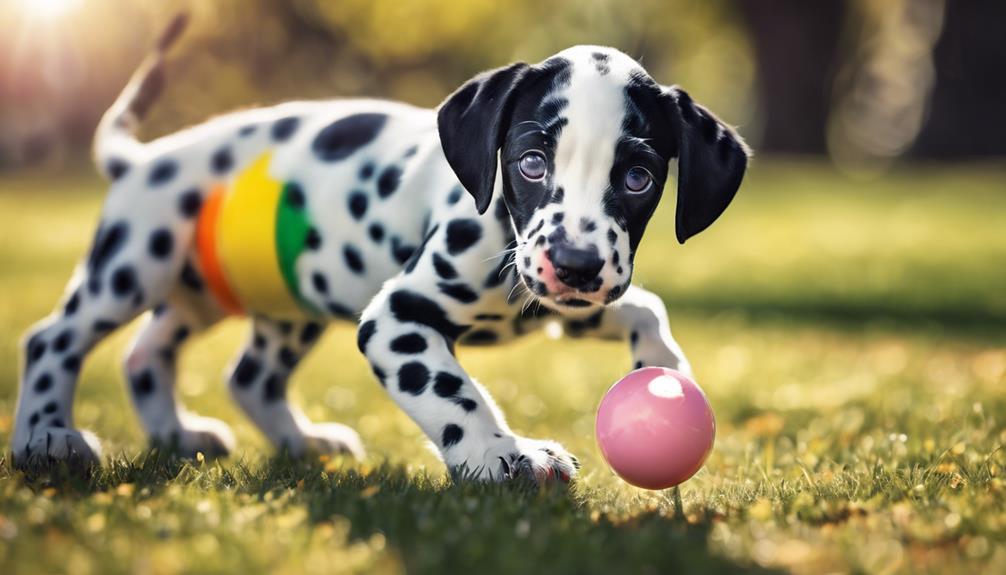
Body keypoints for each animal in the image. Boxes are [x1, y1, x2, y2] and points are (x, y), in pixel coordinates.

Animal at [9, 12, 748, 480]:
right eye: (533, 163)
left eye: (637, 177)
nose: (575, 264)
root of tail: (141, 158)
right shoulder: (396, 319)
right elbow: (453, 392)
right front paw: (504, 455)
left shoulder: (569, 300)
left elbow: (645, 307)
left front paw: (665, 374)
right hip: (136, 260)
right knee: (54, 339)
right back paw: (47, 436)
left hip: (250, 295)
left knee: (208, 366)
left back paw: (232, 436)